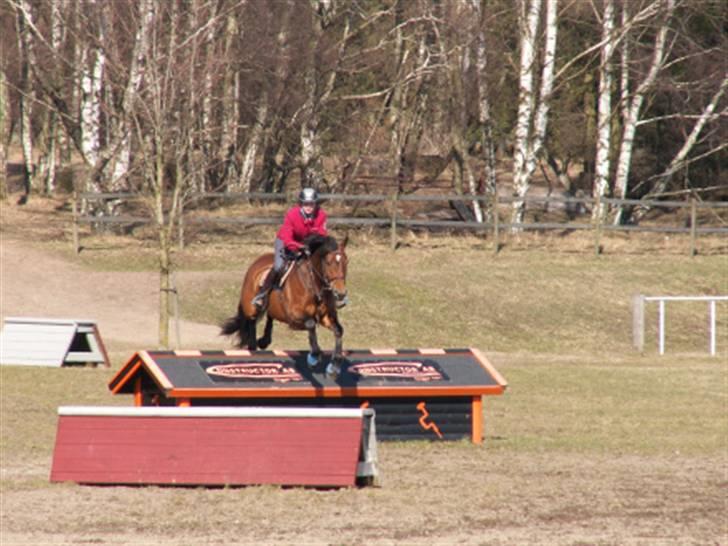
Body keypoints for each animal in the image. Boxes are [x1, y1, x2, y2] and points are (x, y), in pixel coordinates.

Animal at [220, 232, 348, 376]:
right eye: (328, 262)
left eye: (346, 262)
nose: (341, 293)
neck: (314, 284)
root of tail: (257, 261)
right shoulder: (294, 318)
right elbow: (311, 324)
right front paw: (314, 357)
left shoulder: (325, 317)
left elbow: (338, 330)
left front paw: (334, 366)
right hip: (250, 308)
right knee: (251, 322)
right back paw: (254, 345)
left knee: (269, 316)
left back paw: (264, 340)